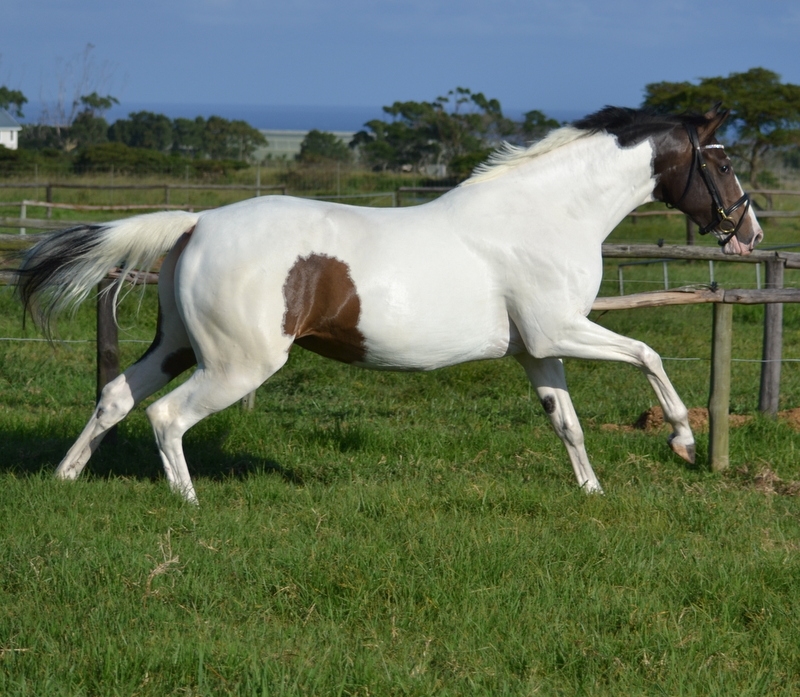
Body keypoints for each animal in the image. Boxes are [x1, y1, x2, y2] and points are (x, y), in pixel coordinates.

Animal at [16, 105, 763, 504]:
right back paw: (189, 501)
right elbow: (648, 353)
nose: (749, 234)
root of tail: (197, 222)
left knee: (115, 396)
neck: (546, 215)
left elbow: (567, 424)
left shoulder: (537, 349)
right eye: (723, 162)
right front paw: (683, 441)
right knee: (167, 417)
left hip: (176, 345)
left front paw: (592, 493)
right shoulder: (563, 330)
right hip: (236, 365)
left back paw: (64, 478)